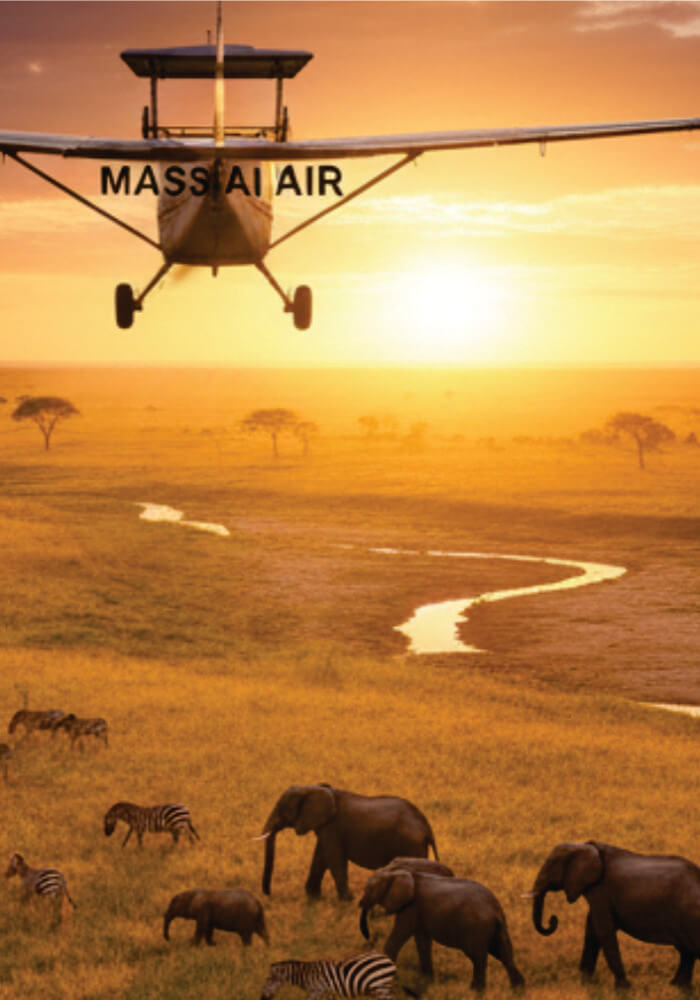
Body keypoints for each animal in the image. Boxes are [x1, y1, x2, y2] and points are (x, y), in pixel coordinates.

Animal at [257, 783, 439, 901]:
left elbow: (334, 860)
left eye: (281, 809)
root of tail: (427, 827)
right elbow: (320, 857)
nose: (269, 894)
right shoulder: (326, 828)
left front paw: (346, 901)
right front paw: (313, 898)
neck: (312, 788)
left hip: (410, 845)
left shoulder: (333, 828)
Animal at [260, 953, 397, 1000]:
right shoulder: (326, 992)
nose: (262, 998)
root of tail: (388, 959)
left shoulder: (317, 991)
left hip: (381, 987)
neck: (306, 975)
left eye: (269, 979)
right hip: (378, 988)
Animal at [358, 867, 525, 992]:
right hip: (497, 928)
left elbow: (398, 937)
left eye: (368, 889)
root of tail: (495, 908)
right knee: (504, 954)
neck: (395, 873)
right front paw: (426, 980)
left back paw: (475, 992)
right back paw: (518, 990)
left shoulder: (410, 908)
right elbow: (422, 942)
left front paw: (392, 979)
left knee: (478, 958)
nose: (361, 903)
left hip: (477, 928)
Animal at [525, 840, 700, 989]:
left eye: (550, 867)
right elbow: (592, 930)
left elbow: (603, 930)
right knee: (686, 952)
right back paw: (677, 986)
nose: (552, 919)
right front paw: (585, 981)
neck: (585, 846)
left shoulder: (601, 890)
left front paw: (623, 987)